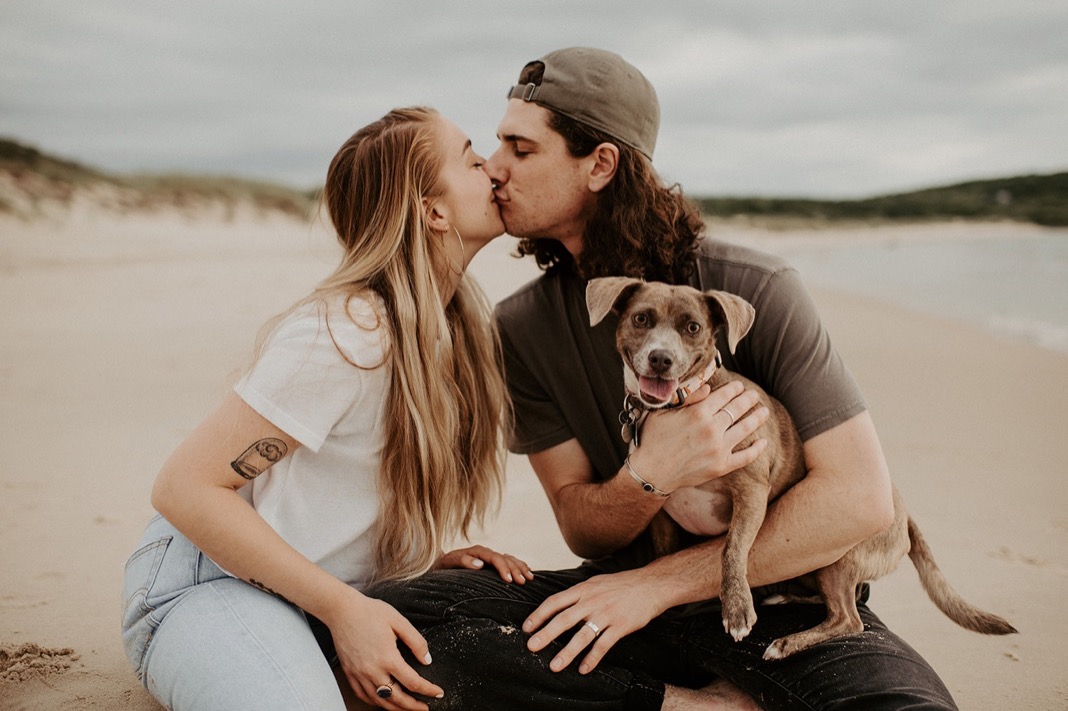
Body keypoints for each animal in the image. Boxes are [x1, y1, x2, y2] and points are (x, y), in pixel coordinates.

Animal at [589, 277, 1012, 657]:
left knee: (849, 618)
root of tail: (904, 515)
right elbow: (664, 558)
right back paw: (785, 599)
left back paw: (786, 642)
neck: (681, 405)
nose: (661, 358)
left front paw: (737, 608)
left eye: (692, 327)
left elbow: (731, 549)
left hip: (839, 554)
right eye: (642, 318)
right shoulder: (662, 512)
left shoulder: (751, 492)